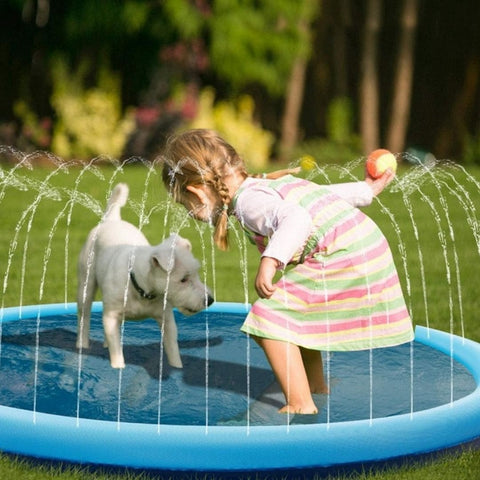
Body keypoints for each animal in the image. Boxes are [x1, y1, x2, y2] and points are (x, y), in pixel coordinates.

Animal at [76, 183, 212, 368]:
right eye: (183, 279)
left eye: (197, 274)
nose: (210, 300)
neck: (142, 289)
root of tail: (112, 219)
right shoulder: (111, 317)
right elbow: (117, 351)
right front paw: (118, 367)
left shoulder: (167, 320)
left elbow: (173, 349)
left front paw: (177, 367)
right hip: (86, 284)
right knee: (84, 316)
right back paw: (82, 346)